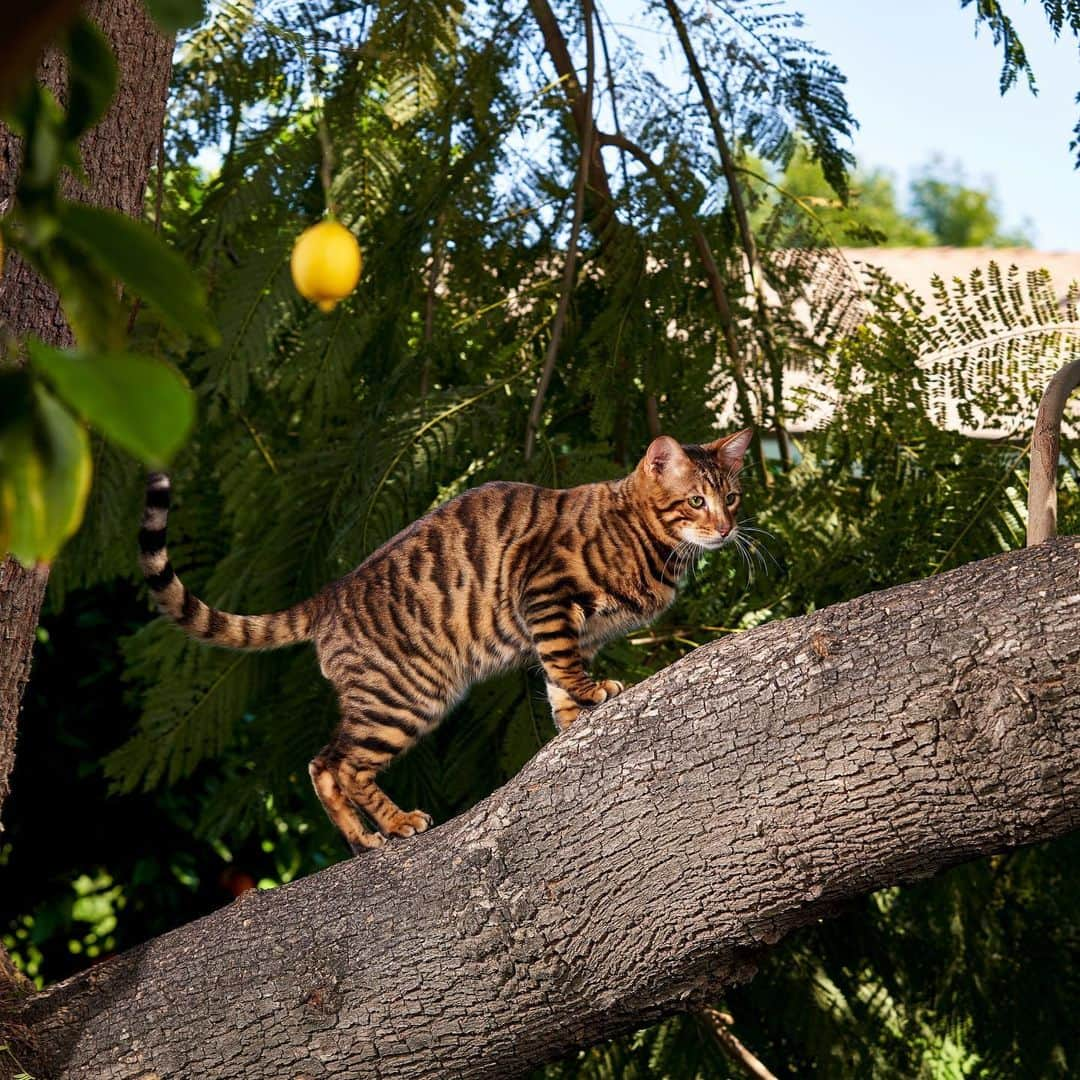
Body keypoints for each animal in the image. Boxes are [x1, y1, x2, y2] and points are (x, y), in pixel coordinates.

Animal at [137, 429, 751, 851]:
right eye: (696, 501)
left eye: (733, 498)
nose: (725, 528)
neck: (648, 537)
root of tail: (331, 594)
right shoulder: (545, 591)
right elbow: (564, 663)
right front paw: (592, 693)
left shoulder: (575, 628)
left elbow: (557, 682)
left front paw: (574, 720)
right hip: (409, 695)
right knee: (343, 764)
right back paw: (396, 823)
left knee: (321, 763)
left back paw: (362, 838)